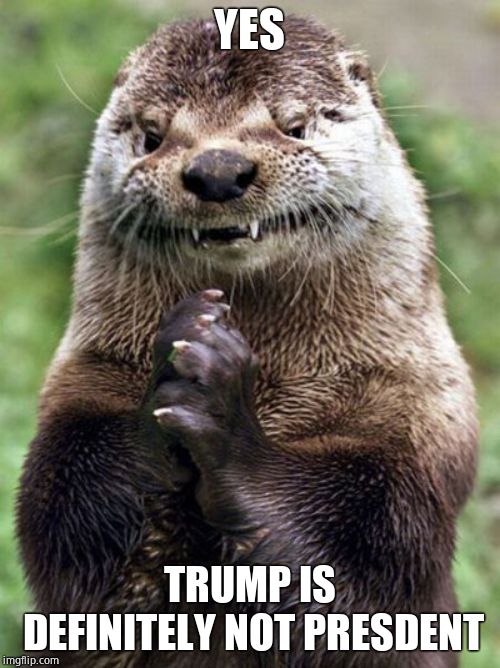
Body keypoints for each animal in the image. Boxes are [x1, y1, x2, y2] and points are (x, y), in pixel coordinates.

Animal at [17, 15, 477, 668]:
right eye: (152, 135)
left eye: (294, 125)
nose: (217, 170)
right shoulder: (81, 387)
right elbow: (69, 517)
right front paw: (178, 358)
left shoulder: (419, 422)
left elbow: (371, 551)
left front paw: (228, 423)